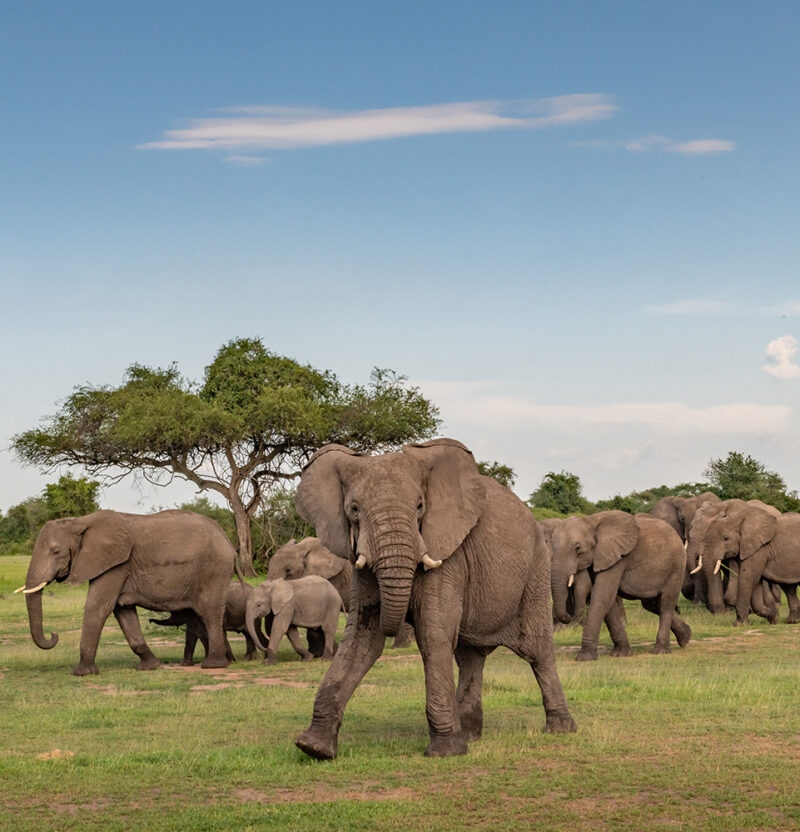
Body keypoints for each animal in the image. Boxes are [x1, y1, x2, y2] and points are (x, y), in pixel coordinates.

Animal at [16, 509, 238, 675]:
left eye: (56, 552)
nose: (53, 634)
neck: (79, 522)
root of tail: (227, 541)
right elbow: (123, 611)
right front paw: (150, 666)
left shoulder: (116, 565)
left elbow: (98, 608)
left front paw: (82, 673)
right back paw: (226, 661)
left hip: (214, 571)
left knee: (209, 613)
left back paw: (213, 665)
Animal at [292, 438, 577, 760]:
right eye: (353, 509)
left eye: (420, 507)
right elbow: (361, 639)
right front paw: (314, 748)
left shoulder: (448, 555)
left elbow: (432, 635)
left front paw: (445, 752)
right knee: (469, 657)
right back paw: (470, 735)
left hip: (536, 570)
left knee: (536, 650)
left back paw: (560, 729)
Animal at [550, 510, 692, 661]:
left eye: (577, 548)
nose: (567, 617)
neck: (591, 521)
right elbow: (607, 600)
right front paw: (621, 653)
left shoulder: (618, 558)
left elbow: (602, 596)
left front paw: (584, 658)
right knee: (652, 604)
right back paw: (685, 638)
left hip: (676, 567)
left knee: (666, 604)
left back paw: (660, 650)